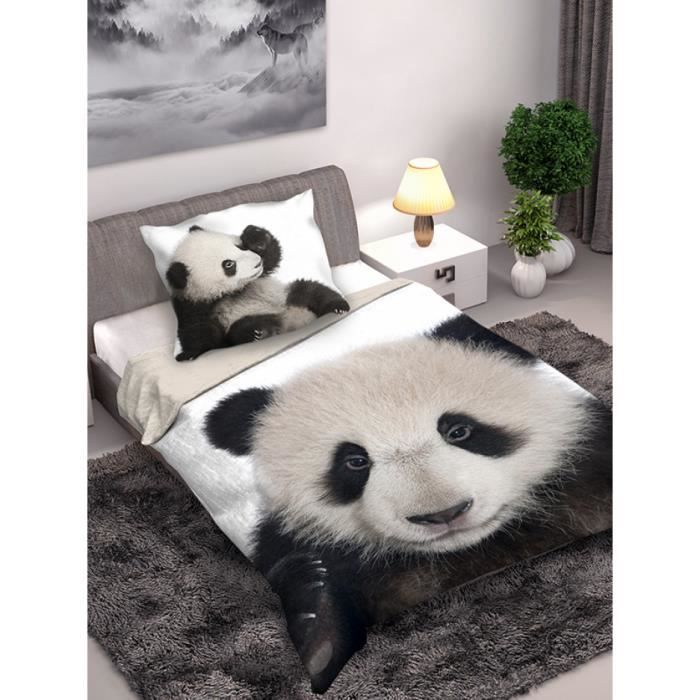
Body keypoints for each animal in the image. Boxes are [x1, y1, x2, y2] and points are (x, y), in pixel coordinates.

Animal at [166, 224, 350, 361]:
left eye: (239, 246)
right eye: (228, 265)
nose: (256, 262)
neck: (229, 292)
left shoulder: (260, 275)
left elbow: (271, 256)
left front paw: (254, 235)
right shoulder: (194, 305)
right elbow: (205, 336)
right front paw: (189, 354)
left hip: (287, 297)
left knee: (312, 291)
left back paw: (337, 305)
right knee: (239, 331)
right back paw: (258, 331)